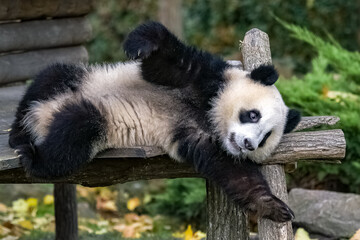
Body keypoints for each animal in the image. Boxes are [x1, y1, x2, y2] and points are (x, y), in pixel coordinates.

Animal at [8, 21, 300, 222]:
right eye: (253, 115)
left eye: (266, 137)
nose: (249, 144)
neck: (208, 116)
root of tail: (43, 116)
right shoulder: (205, 79)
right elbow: (166, 62)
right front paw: (143, 43)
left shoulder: (201, 141)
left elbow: (235, 173)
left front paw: (271, 205)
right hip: (84, 80)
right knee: (51, 82)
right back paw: (24, 144)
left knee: (75, 129)